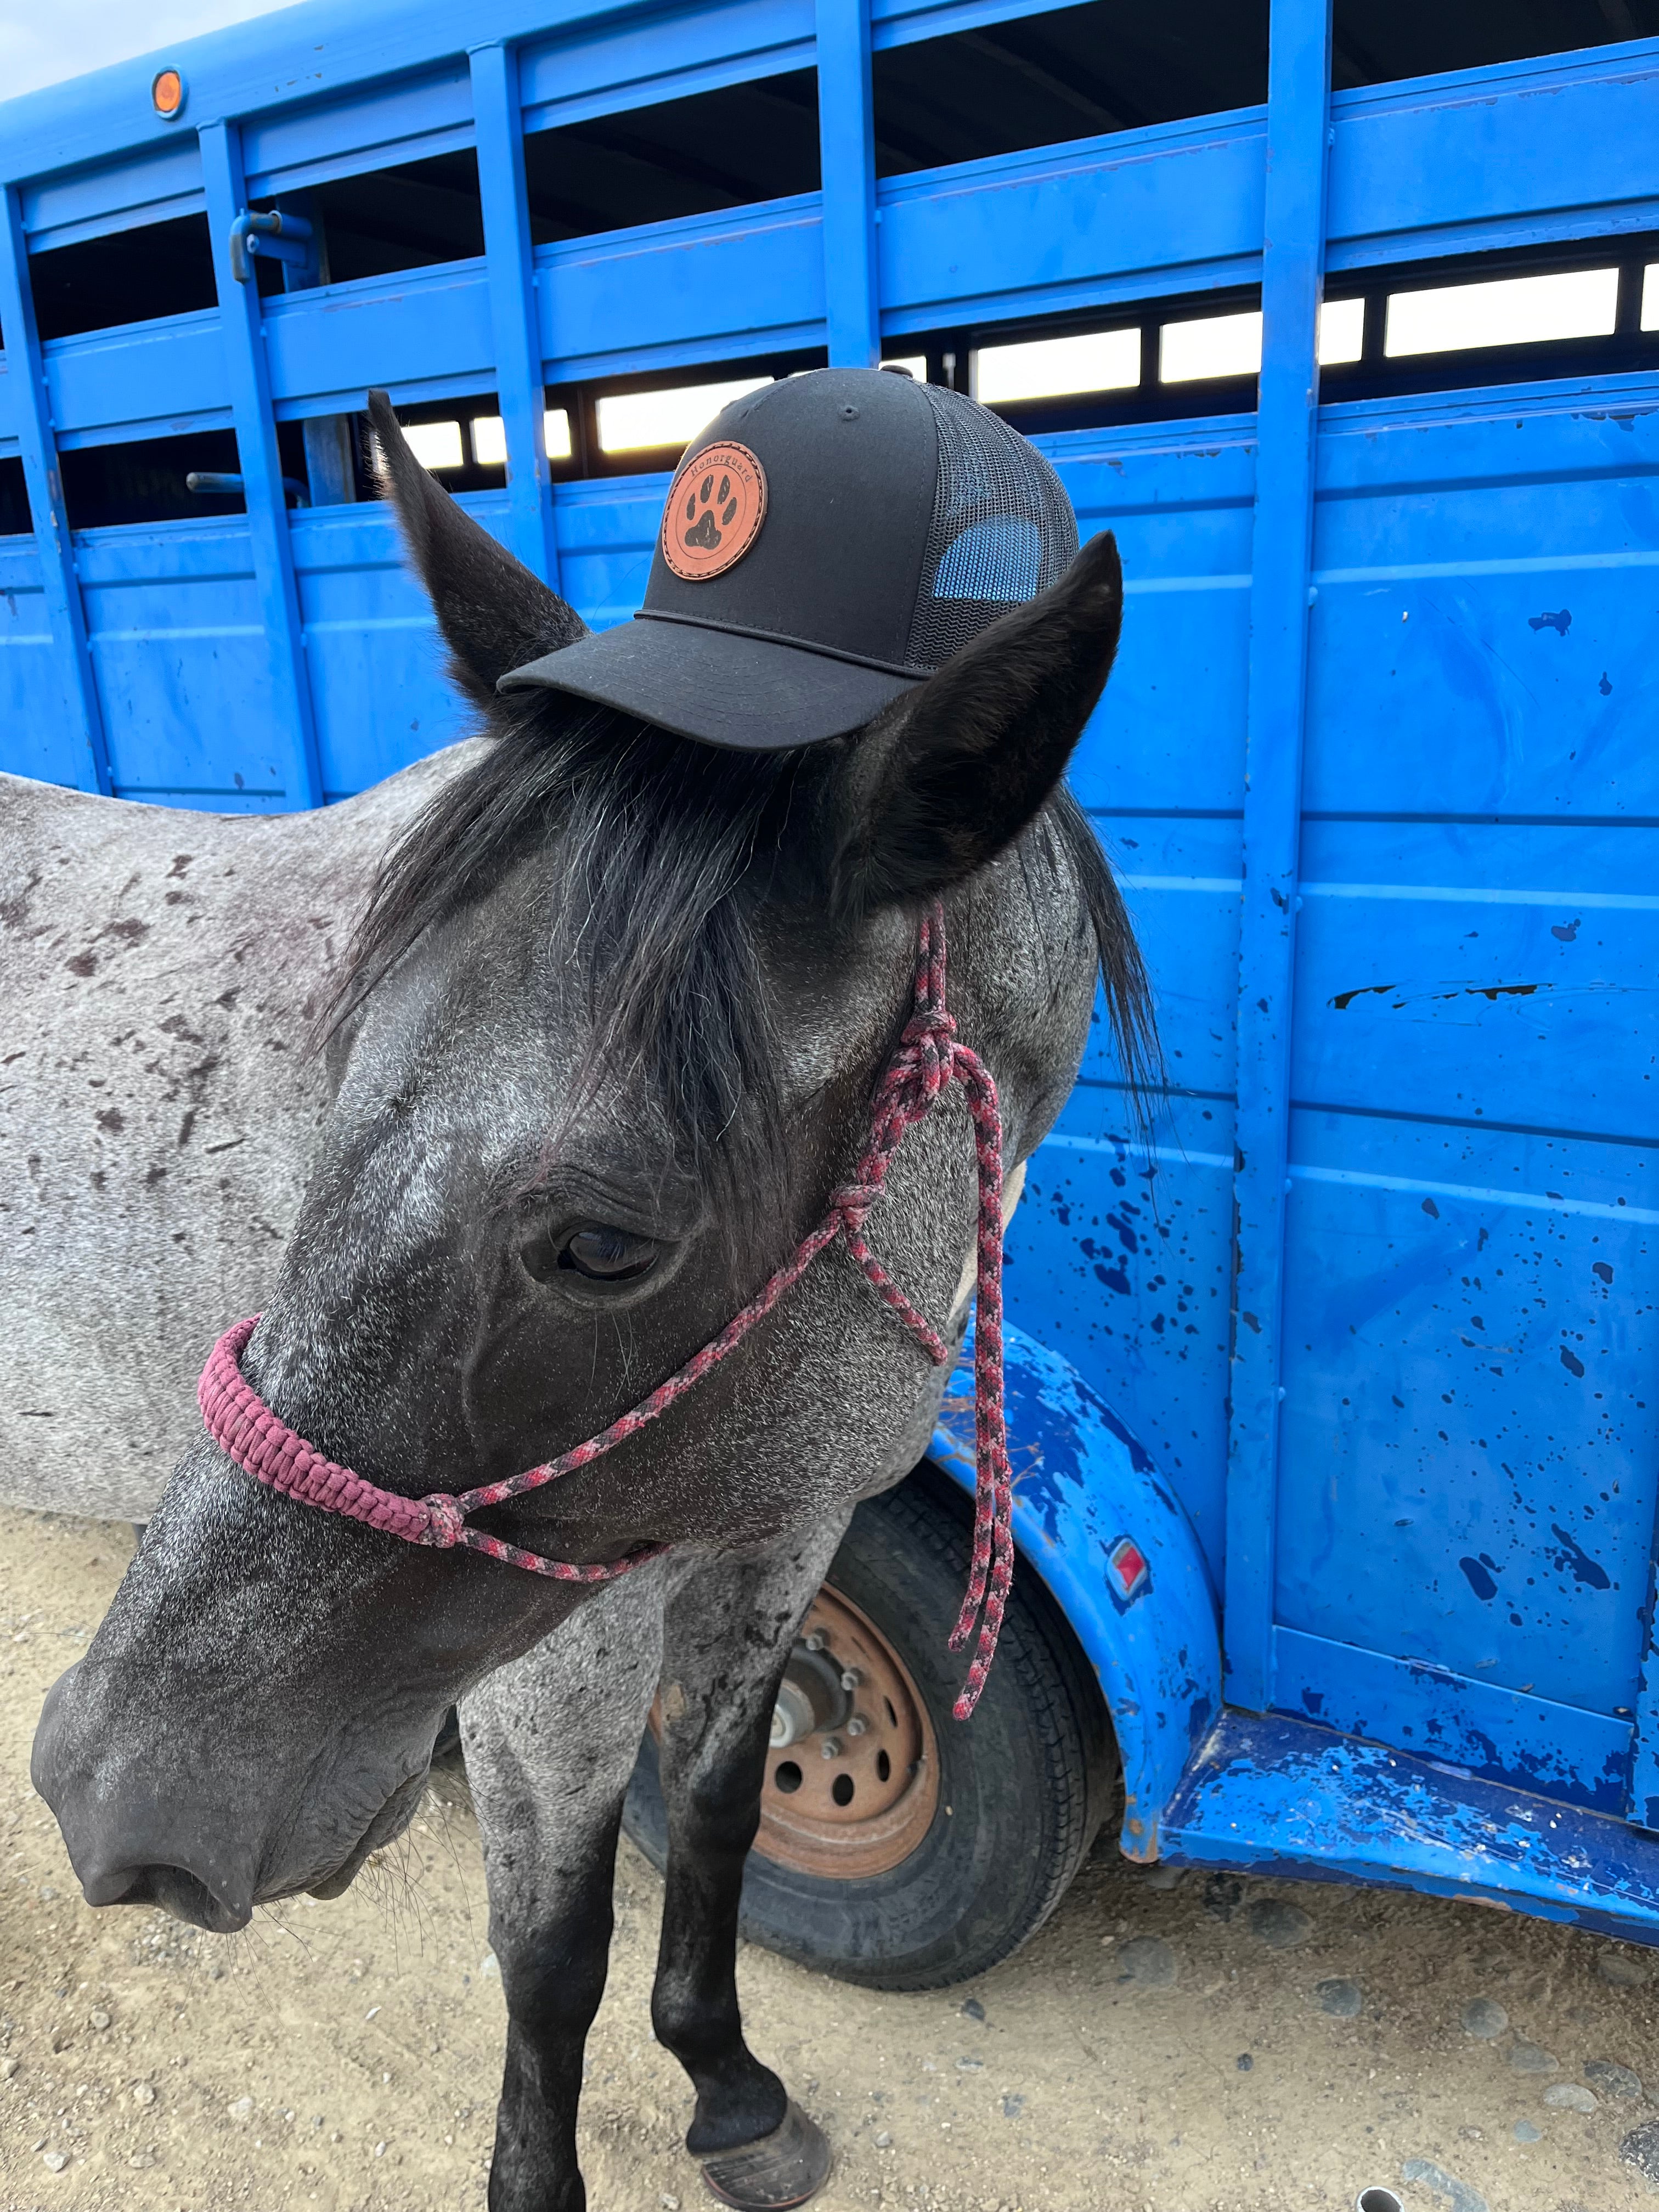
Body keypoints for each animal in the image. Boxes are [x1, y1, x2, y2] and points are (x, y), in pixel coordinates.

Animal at [22, 385, 1159, 2212]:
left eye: (608, 1245)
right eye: (330, 1079)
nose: (113, 1795)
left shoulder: (779, 1535)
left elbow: (717, 1821)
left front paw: (731, 2087)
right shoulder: (558, 1634)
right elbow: (551, 1949)